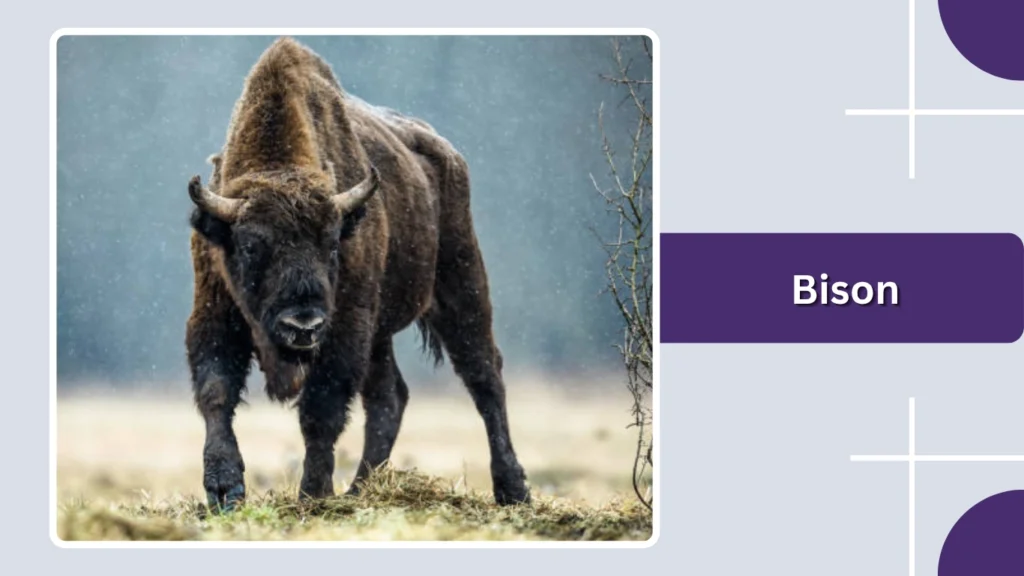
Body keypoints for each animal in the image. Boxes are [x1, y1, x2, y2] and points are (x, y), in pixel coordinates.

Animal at [185, 37, 530, 510]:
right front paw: (223, 490)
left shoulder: (345, 326)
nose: (303, 325)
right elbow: (216, 392)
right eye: (251, 245)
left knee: (484, 376)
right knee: (390, 397)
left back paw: (513, 489)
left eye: (333, 243)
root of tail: (448, 155)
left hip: (461, 285)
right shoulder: (215, 311)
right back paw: (361, 488)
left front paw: (313, 493)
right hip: (382, 333)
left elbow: (321, 410)